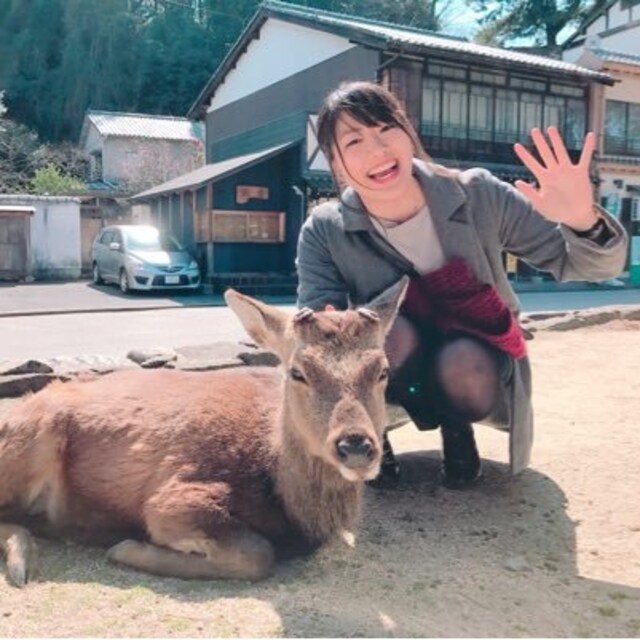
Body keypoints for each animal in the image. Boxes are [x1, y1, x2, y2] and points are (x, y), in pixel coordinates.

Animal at [0, 279, 406, 587]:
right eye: (297, 372)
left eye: (383, 370)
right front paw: (127, 549)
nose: (355, 445)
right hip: (32, 441)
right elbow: (257, 554)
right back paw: (24, 560)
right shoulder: (173, 499)